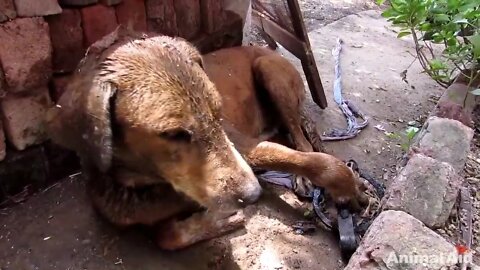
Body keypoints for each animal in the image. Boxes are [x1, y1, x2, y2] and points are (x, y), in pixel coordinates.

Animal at [47, 28, 366, 251]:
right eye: (173, 134)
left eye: (218, 112)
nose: (254, 195)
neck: (152, 183)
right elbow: (167, 236)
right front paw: (213, 221)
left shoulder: (242, 145)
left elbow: (313, 161)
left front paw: (349, 184)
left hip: (270, 72)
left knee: (301, 136)